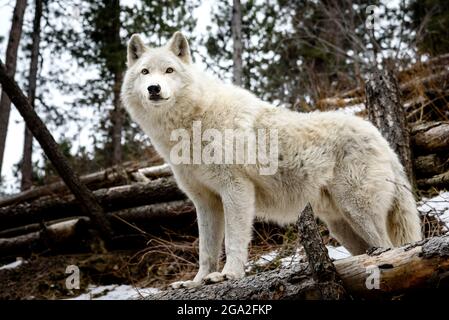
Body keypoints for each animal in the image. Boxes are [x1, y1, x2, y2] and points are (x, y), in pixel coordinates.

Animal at [121, 31, 422, 288]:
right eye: (145, 72)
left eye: (169, 70)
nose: (154, 88)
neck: (192, 122)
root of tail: (381, 138)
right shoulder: (205, 202)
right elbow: (206, 250)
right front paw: (196, 282)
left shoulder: (236, 189)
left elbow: (234, 240)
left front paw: (228, 275)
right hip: (342, 226)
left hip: (358, 211)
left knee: (390, 249)